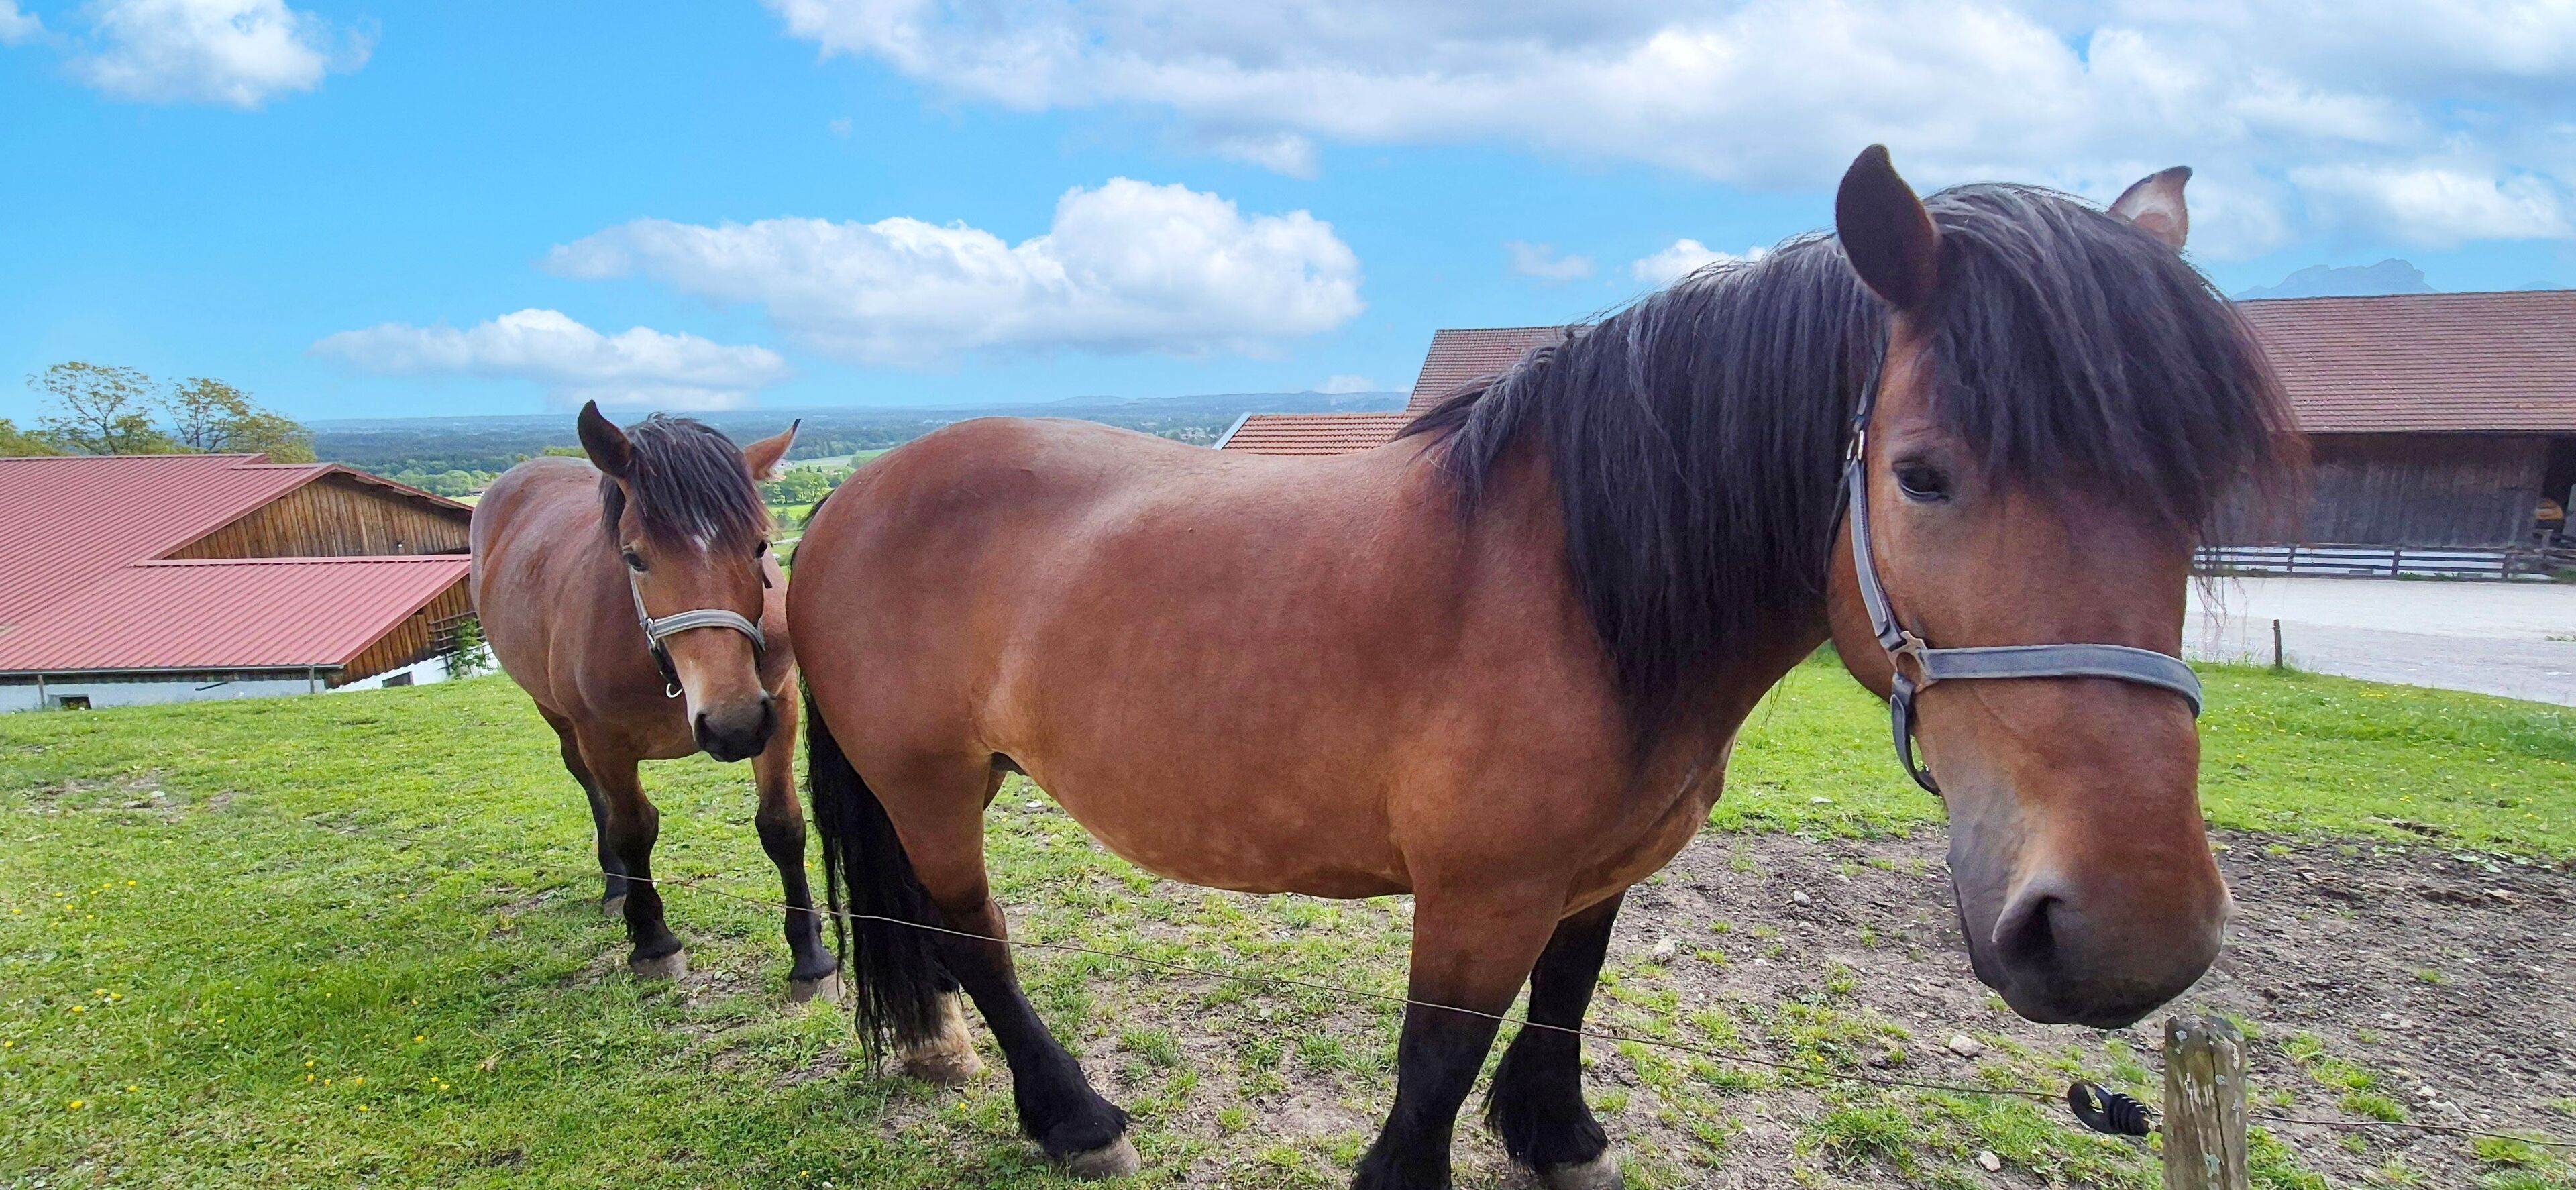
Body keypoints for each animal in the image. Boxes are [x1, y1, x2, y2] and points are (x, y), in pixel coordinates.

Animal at [789, 146, 2294, 1189]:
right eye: (1923, 474)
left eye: (2199, 490)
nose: (2131, 929)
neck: (1577, 585)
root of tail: (849, 498)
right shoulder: (1477, 894)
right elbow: (1434, 1064)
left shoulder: (1596, 868)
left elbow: (1568, 993)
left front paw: (1557, 1129)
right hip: (932, 783)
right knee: (973, 933)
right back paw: (1071, 1113)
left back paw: (938, 1047)